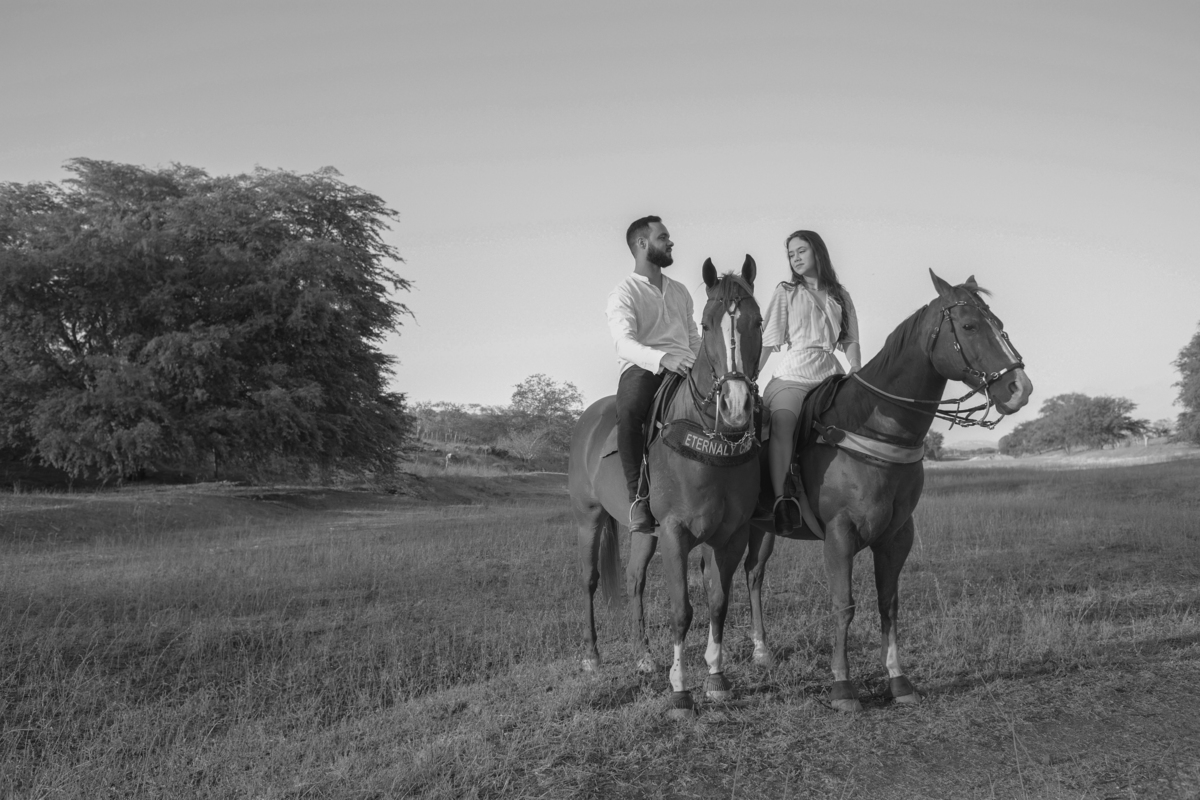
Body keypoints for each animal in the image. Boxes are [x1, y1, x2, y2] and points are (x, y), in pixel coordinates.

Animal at [570, 256, 763, 718]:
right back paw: (592, 656)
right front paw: (679, 690)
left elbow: (718, 602)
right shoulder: (676, 532)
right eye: (706, 325)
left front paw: (716, 678)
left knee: (635, 580)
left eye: (759, 321)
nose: (735, 406)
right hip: (589, 518)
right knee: (588, 579)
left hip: (644, 532)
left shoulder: (731, 535)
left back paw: (643, 657)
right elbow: (681, 611)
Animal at [743, 269, 1033, 712]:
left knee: (754, 574)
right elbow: (843, 605)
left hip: (763, 528)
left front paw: (898, 679)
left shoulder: (897, 535)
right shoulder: (839, 534)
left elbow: (889, 604)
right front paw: (843, 687)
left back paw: (761, 650)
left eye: (999, 325)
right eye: (969, 326)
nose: (1020, 388)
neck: (869, 425)